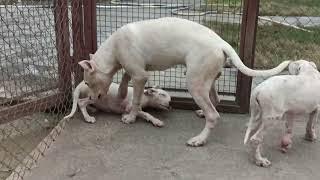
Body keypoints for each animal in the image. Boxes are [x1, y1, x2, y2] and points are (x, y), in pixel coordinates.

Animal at [79, 16, 292, 146]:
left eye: (88, 83)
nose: (91, 99)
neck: (114, 46)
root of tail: (222, 43)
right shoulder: (137, 70)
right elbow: (125, 77)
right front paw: (122, 92)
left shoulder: (141, 76)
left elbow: (136, 100)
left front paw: (130, 117)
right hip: (207, 80)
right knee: (215, 101)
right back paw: (201, 114)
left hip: (194, 83)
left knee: (214, 115)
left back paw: (199, 139)